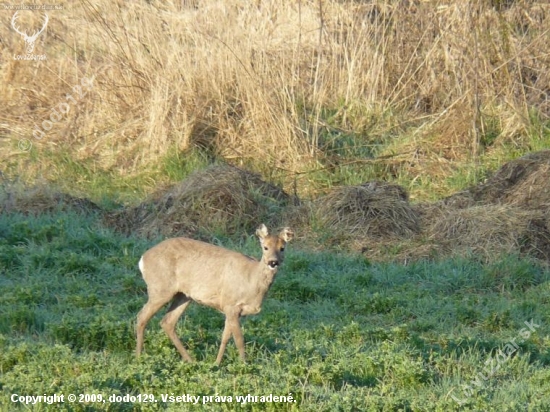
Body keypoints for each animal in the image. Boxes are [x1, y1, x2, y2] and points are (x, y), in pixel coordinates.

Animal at [136, 225, 296, 364]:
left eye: (282, 248)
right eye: (265, 247)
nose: (273, 262)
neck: (252, 281)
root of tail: (143, 259)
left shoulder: (232, 310)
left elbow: (225, 337)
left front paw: (217, 363)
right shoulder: (231, 304)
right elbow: (239, 339)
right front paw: (244, 365)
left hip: (183, 295)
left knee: (167, 321)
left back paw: (190, 360)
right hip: (160, 288)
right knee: (141, 316)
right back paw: (139, 357)